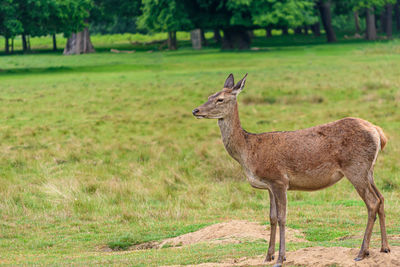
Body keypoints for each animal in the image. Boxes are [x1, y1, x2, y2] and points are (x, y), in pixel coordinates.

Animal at [192, 74, 390, 267]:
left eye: (220, 99)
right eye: (209, 95)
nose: (196, 110)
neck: (248, 153)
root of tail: (379, 132)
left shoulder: (279, 179)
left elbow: (282, 218)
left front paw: (280, 258)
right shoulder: (268, 186)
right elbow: (271, 217)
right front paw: (268, 256)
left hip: (355, 167)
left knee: (372, 202)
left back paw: (362, 252)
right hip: (368, 170)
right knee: (381, 197)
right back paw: (384, 248)